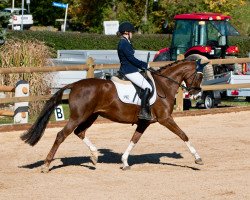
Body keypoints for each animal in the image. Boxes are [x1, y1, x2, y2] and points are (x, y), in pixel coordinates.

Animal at [20, 59, 207, 172]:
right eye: (199, 76)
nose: (196, 94)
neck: (164, 85)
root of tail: (75, 84)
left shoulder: (144, 122)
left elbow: (134, 140)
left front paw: (124, 162)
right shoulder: (165, 119)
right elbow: (183, 135)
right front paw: (198, 159)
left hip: (91, 116)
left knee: (80, 132)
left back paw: (94, 156)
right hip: (78, 116)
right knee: (61, 135)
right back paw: (46, 165)